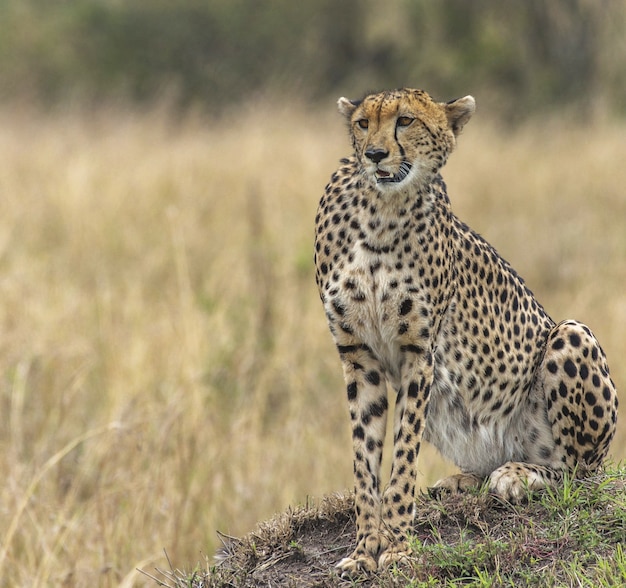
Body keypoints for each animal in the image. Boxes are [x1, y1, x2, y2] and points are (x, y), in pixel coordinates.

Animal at [314, 89, 616, 576]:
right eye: (362, 124)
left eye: (405, 121)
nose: (375, 154)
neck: (381, 210)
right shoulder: (357, 355)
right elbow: (365, 459)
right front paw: (363, 550)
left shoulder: (419, 352)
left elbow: (402, 454)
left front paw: (396, 545)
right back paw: (463, 480)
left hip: (571, 334)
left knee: (575, 471)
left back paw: (518, 474)